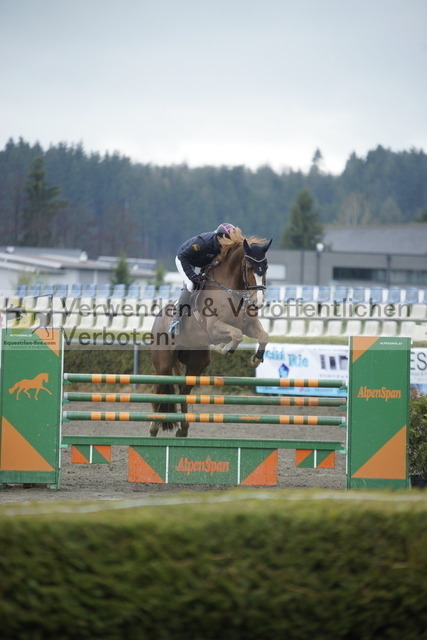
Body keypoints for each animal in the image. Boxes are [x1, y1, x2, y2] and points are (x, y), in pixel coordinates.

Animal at [149, 228, 272, 438]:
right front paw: (224, 349)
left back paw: (183, 429)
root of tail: (158, 319)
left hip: (197, 362)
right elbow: (236, 335)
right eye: (248, 267)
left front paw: (255, 359)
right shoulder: (215, 328)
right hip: (163, 363)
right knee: (159, 390)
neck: (231, 290)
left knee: (183, 390)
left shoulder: (249, 325)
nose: (258, 302)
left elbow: (262, 336)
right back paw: (154, 427)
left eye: (266, 267)